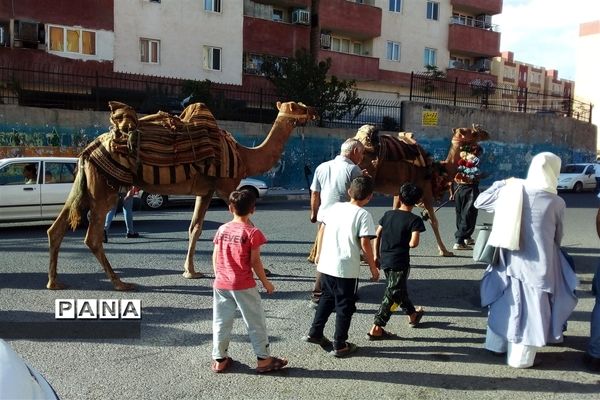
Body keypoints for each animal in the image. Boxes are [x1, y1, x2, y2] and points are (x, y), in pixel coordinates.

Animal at [47, 101, 316, 290]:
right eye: (296, 106)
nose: (313, 111)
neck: (245, 156)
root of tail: (87, 150)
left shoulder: (205, 191)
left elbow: (194, 228)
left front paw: (190, 271)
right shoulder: (226, 187)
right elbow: (244, 223)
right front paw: (264, 270)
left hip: (86, 185)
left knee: (56, 228)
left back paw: (54, 282)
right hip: (105, 188)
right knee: (91, 237)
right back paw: (120, 283)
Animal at [354, 125, 490, 256]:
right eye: (473, 132)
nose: (486, 133)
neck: (436, 170)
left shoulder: (399, 193)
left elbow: (390, 216)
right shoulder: (426, 193)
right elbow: (434, 221)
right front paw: (444, 251)